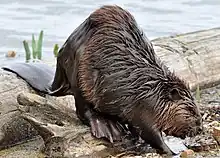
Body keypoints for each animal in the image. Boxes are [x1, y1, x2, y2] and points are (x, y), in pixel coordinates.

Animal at [2, 5, 202, 156]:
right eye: (191, 110)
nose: (200, 128)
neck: (151, 87)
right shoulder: (143, 107)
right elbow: (148, 132)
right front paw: (171, 150)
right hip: (79, 73)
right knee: (83, 109)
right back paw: (108, 126)